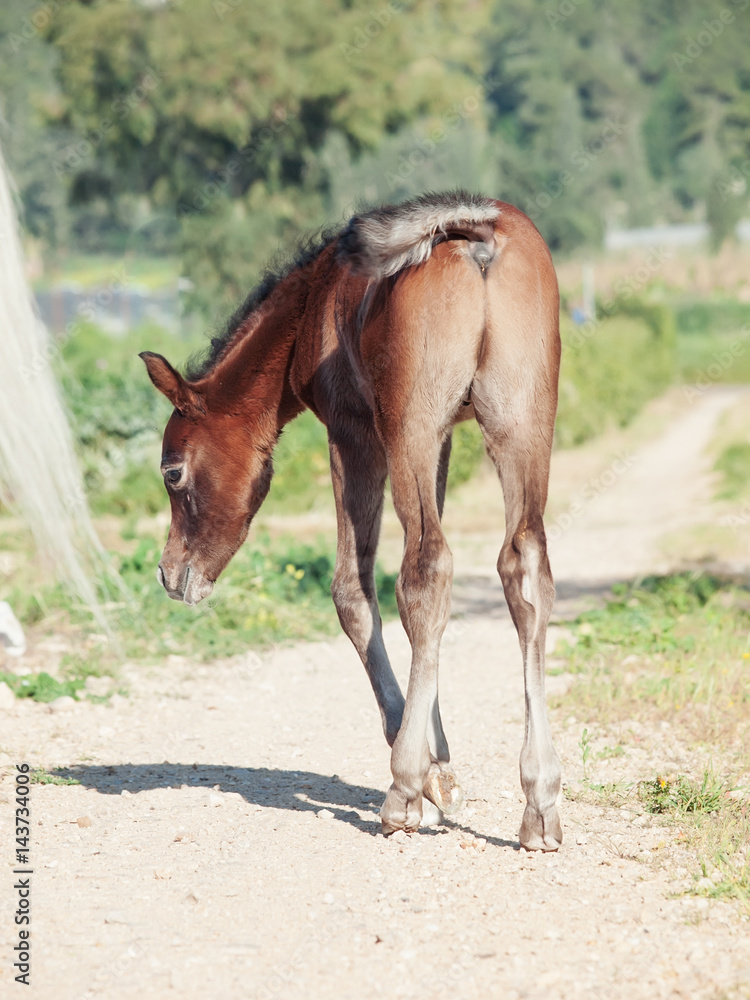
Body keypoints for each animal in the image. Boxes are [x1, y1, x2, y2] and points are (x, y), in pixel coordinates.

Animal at [140, 191, 562, 850]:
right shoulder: (444, 436)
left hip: (412, 427)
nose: (171, 574)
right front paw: (442, 764)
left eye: (172, 473)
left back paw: (402, 792)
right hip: (520, 419)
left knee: (426, 567)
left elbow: (353, 591)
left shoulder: (353, 431)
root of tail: (476, 235)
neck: (315, 303)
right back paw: (541, 802)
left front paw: (428, 780)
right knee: (524, 567)